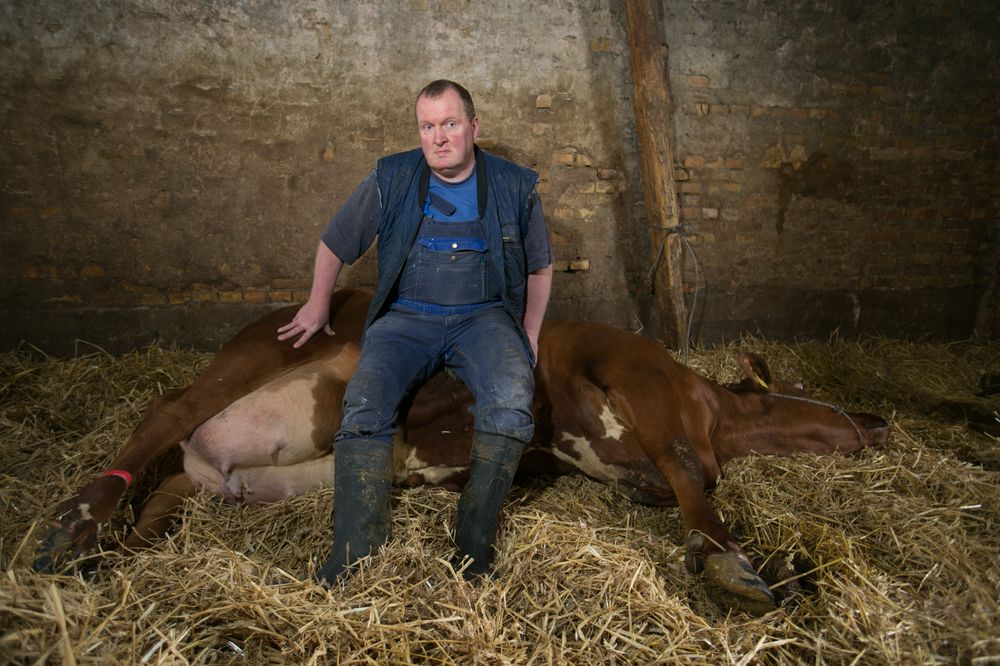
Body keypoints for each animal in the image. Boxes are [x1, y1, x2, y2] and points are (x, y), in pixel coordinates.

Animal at [33, 286, 892, 612]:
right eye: (793, 387)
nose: (877, 419)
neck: (713, 410)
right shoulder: (629, 370)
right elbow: (690, 472)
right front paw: (731, 561)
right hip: (251, 361)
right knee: (168, 411)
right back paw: (77, 521)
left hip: (255, 469)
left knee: (180, 480)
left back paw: (120, 552)